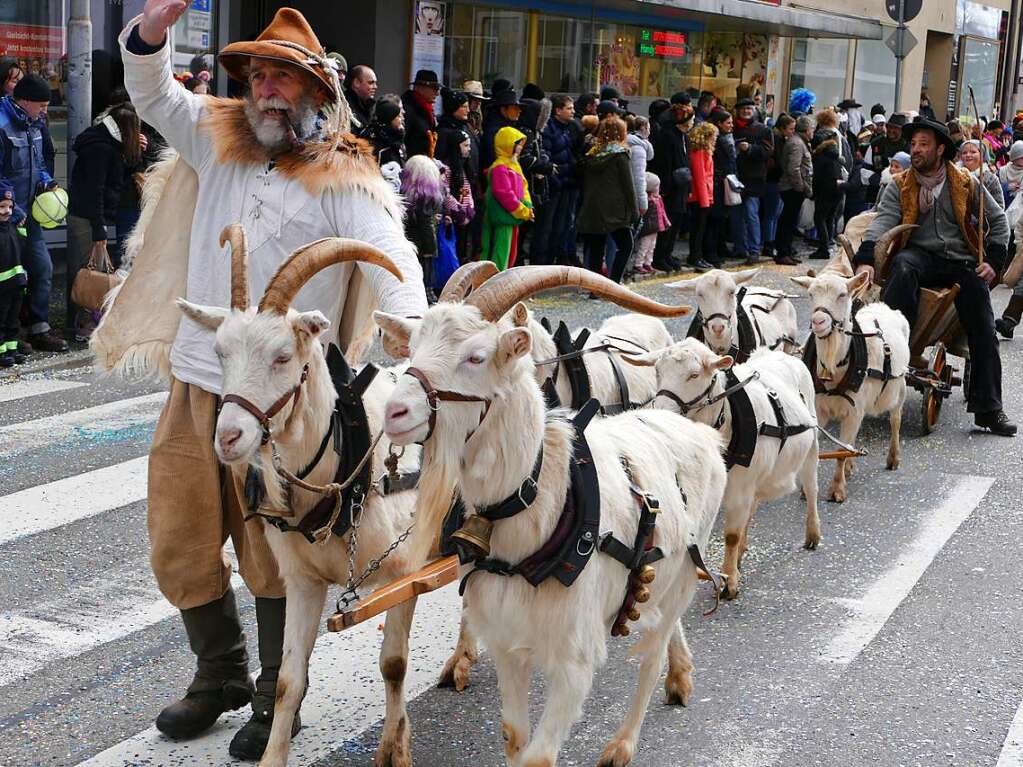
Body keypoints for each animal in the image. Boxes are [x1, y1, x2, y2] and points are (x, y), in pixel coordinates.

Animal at [378, 267, 728, 767]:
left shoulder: (573, 659)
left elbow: (539, 756)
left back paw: (623, 742)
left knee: (652, 654)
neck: (542, 500)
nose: (394, 411)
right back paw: (680, 676)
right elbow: (513, 735)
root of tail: (698, 433)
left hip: (683, 576)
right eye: (414, 348)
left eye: (476, 356)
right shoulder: (507, 645)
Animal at [634, 341, 818, 601]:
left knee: (811, 487)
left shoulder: (741, 485)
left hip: (812, 446)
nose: (661, 410)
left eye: (694, 375)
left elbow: (731, 535)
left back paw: (813, 534)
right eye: (658, 371)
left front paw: (729, 582)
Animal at [789, 269, 912, 505]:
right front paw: (806, 490)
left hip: (900, 385)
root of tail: (884, 307)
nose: (818, 321)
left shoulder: (854, 410)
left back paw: (893, 458)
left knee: (895, 420)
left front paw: (837, 490)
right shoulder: (819, 408)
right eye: (810, 294)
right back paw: (851, 466)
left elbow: (840, 451)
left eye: (842, 295)